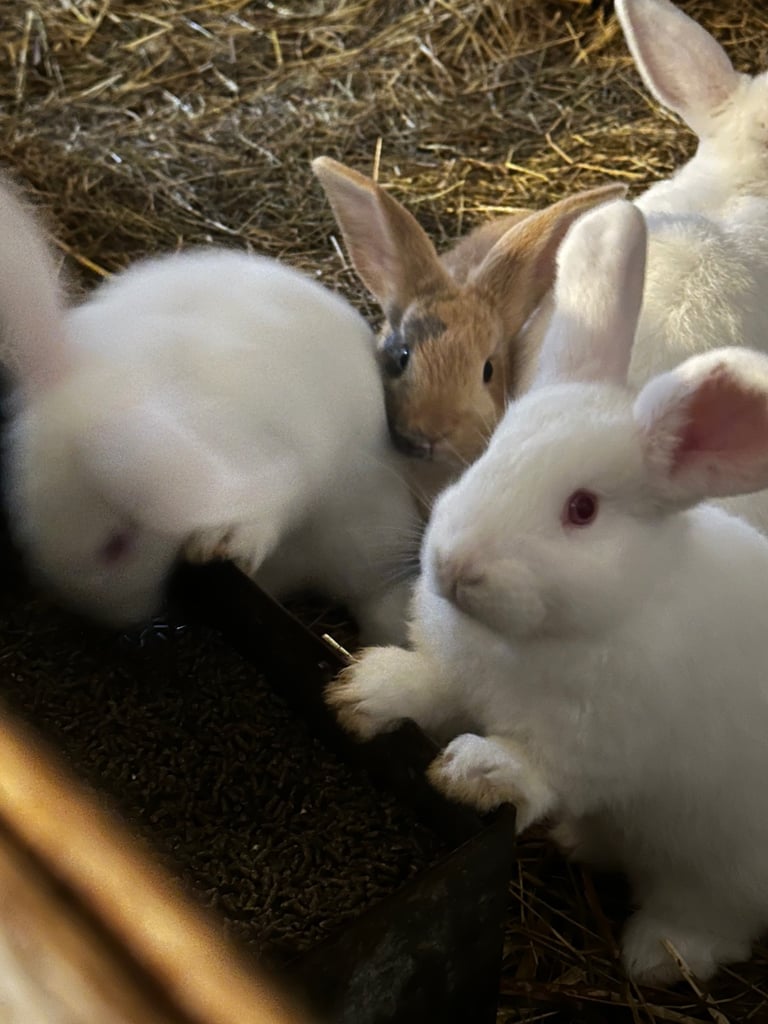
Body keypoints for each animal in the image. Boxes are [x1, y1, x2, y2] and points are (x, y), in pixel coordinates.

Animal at [326, 198, 768, 984]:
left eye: (582, 510)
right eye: (492, 453)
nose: (452, 565)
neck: (524, 641)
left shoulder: (598, 749)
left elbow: (539, 772)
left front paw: (471, 770)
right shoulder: (458, 673)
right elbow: (428, 686)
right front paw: (362, 694)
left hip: (719, 866)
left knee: (711, 917)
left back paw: (658, 955)